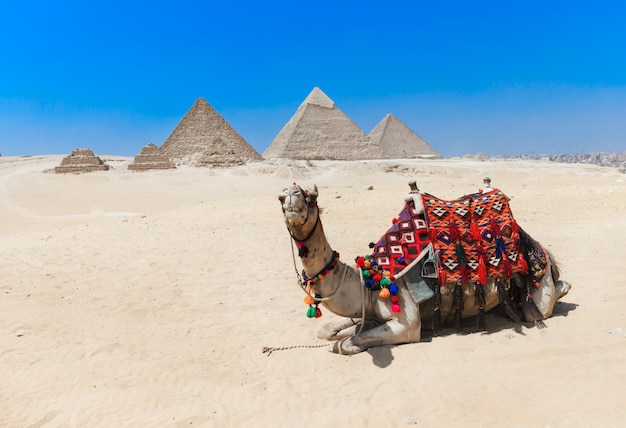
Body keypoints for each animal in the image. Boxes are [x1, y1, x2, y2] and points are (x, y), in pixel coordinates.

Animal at [280, 181, 572, 354]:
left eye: (312, 197)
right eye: (280, 198)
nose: (291, 196)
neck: (371, 278)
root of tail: (542, 250)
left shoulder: (408, 324)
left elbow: (345, 344)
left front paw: (345, 340)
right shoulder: (368, 309)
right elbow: (327, 330)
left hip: (538, 292)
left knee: (545, 302)